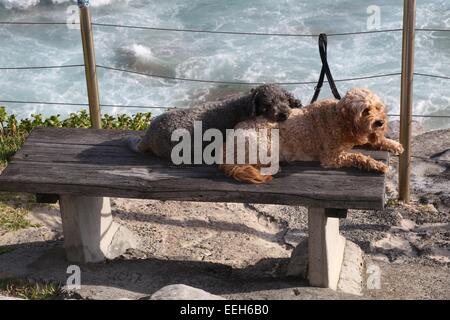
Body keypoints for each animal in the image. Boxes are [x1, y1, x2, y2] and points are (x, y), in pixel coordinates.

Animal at [220, 87, 406, 184]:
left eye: (378, 107)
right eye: (365, 110)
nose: (380, 122)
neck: (339, 118)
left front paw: (391, 144)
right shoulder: (332, 158)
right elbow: (358, 157)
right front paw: (376, 164)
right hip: (264, 144)